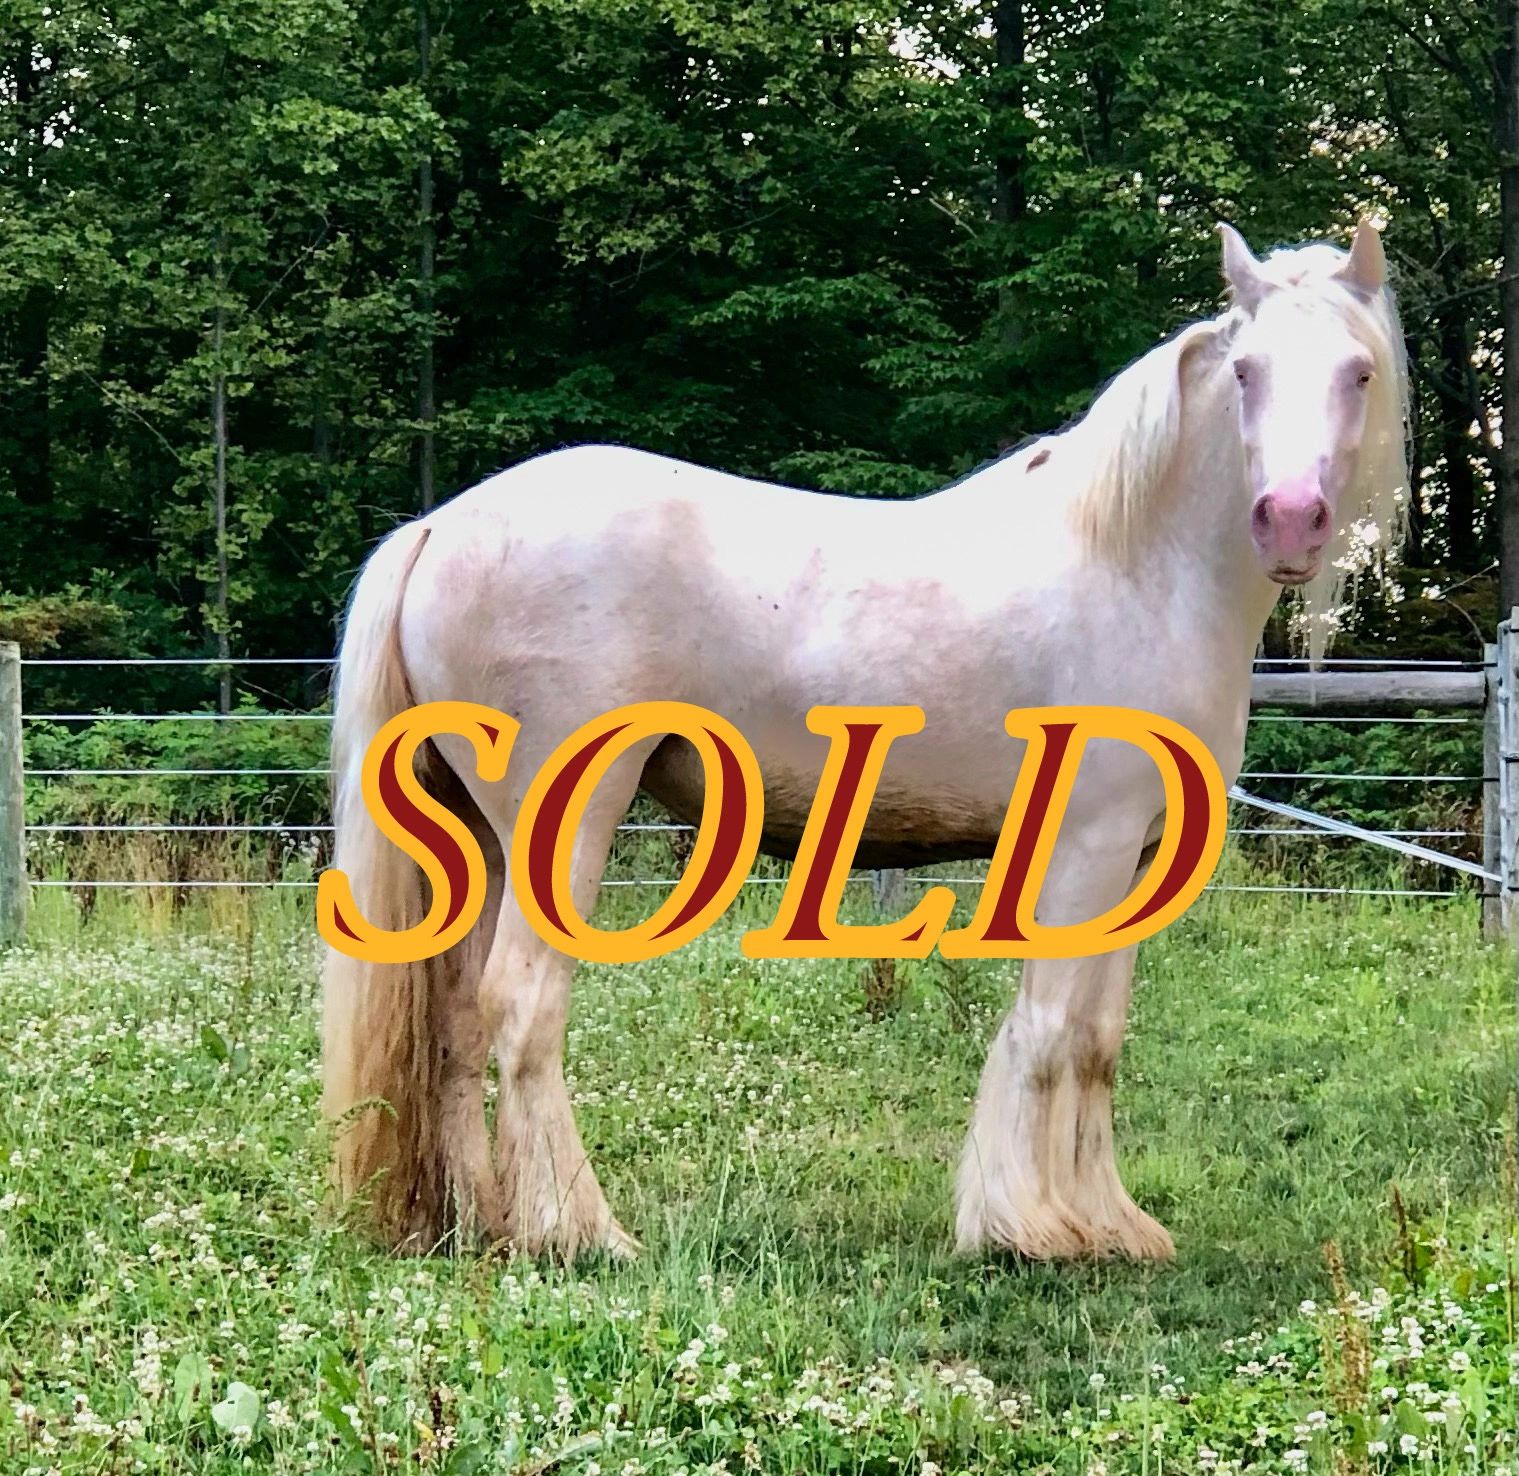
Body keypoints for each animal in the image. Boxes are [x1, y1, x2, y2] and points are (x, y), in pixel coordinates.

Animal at [321, 220, 1409, 1261]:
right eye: (1246, 372)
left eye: (1356, 371)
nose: (1290, 521)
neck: (1135, 564)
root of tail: (439, 528)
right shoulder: (1085, 847)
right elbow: (1050, 1032)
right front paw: (1033, 1230)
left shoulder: (1136, 857)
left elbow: (1098, 1039)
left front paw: (1111, 1226)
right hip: (564, 827)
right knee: (521, 1006)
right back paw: (576, 1231)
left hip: (478, 838)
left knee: (456, 1019)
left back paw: (481, 1225)